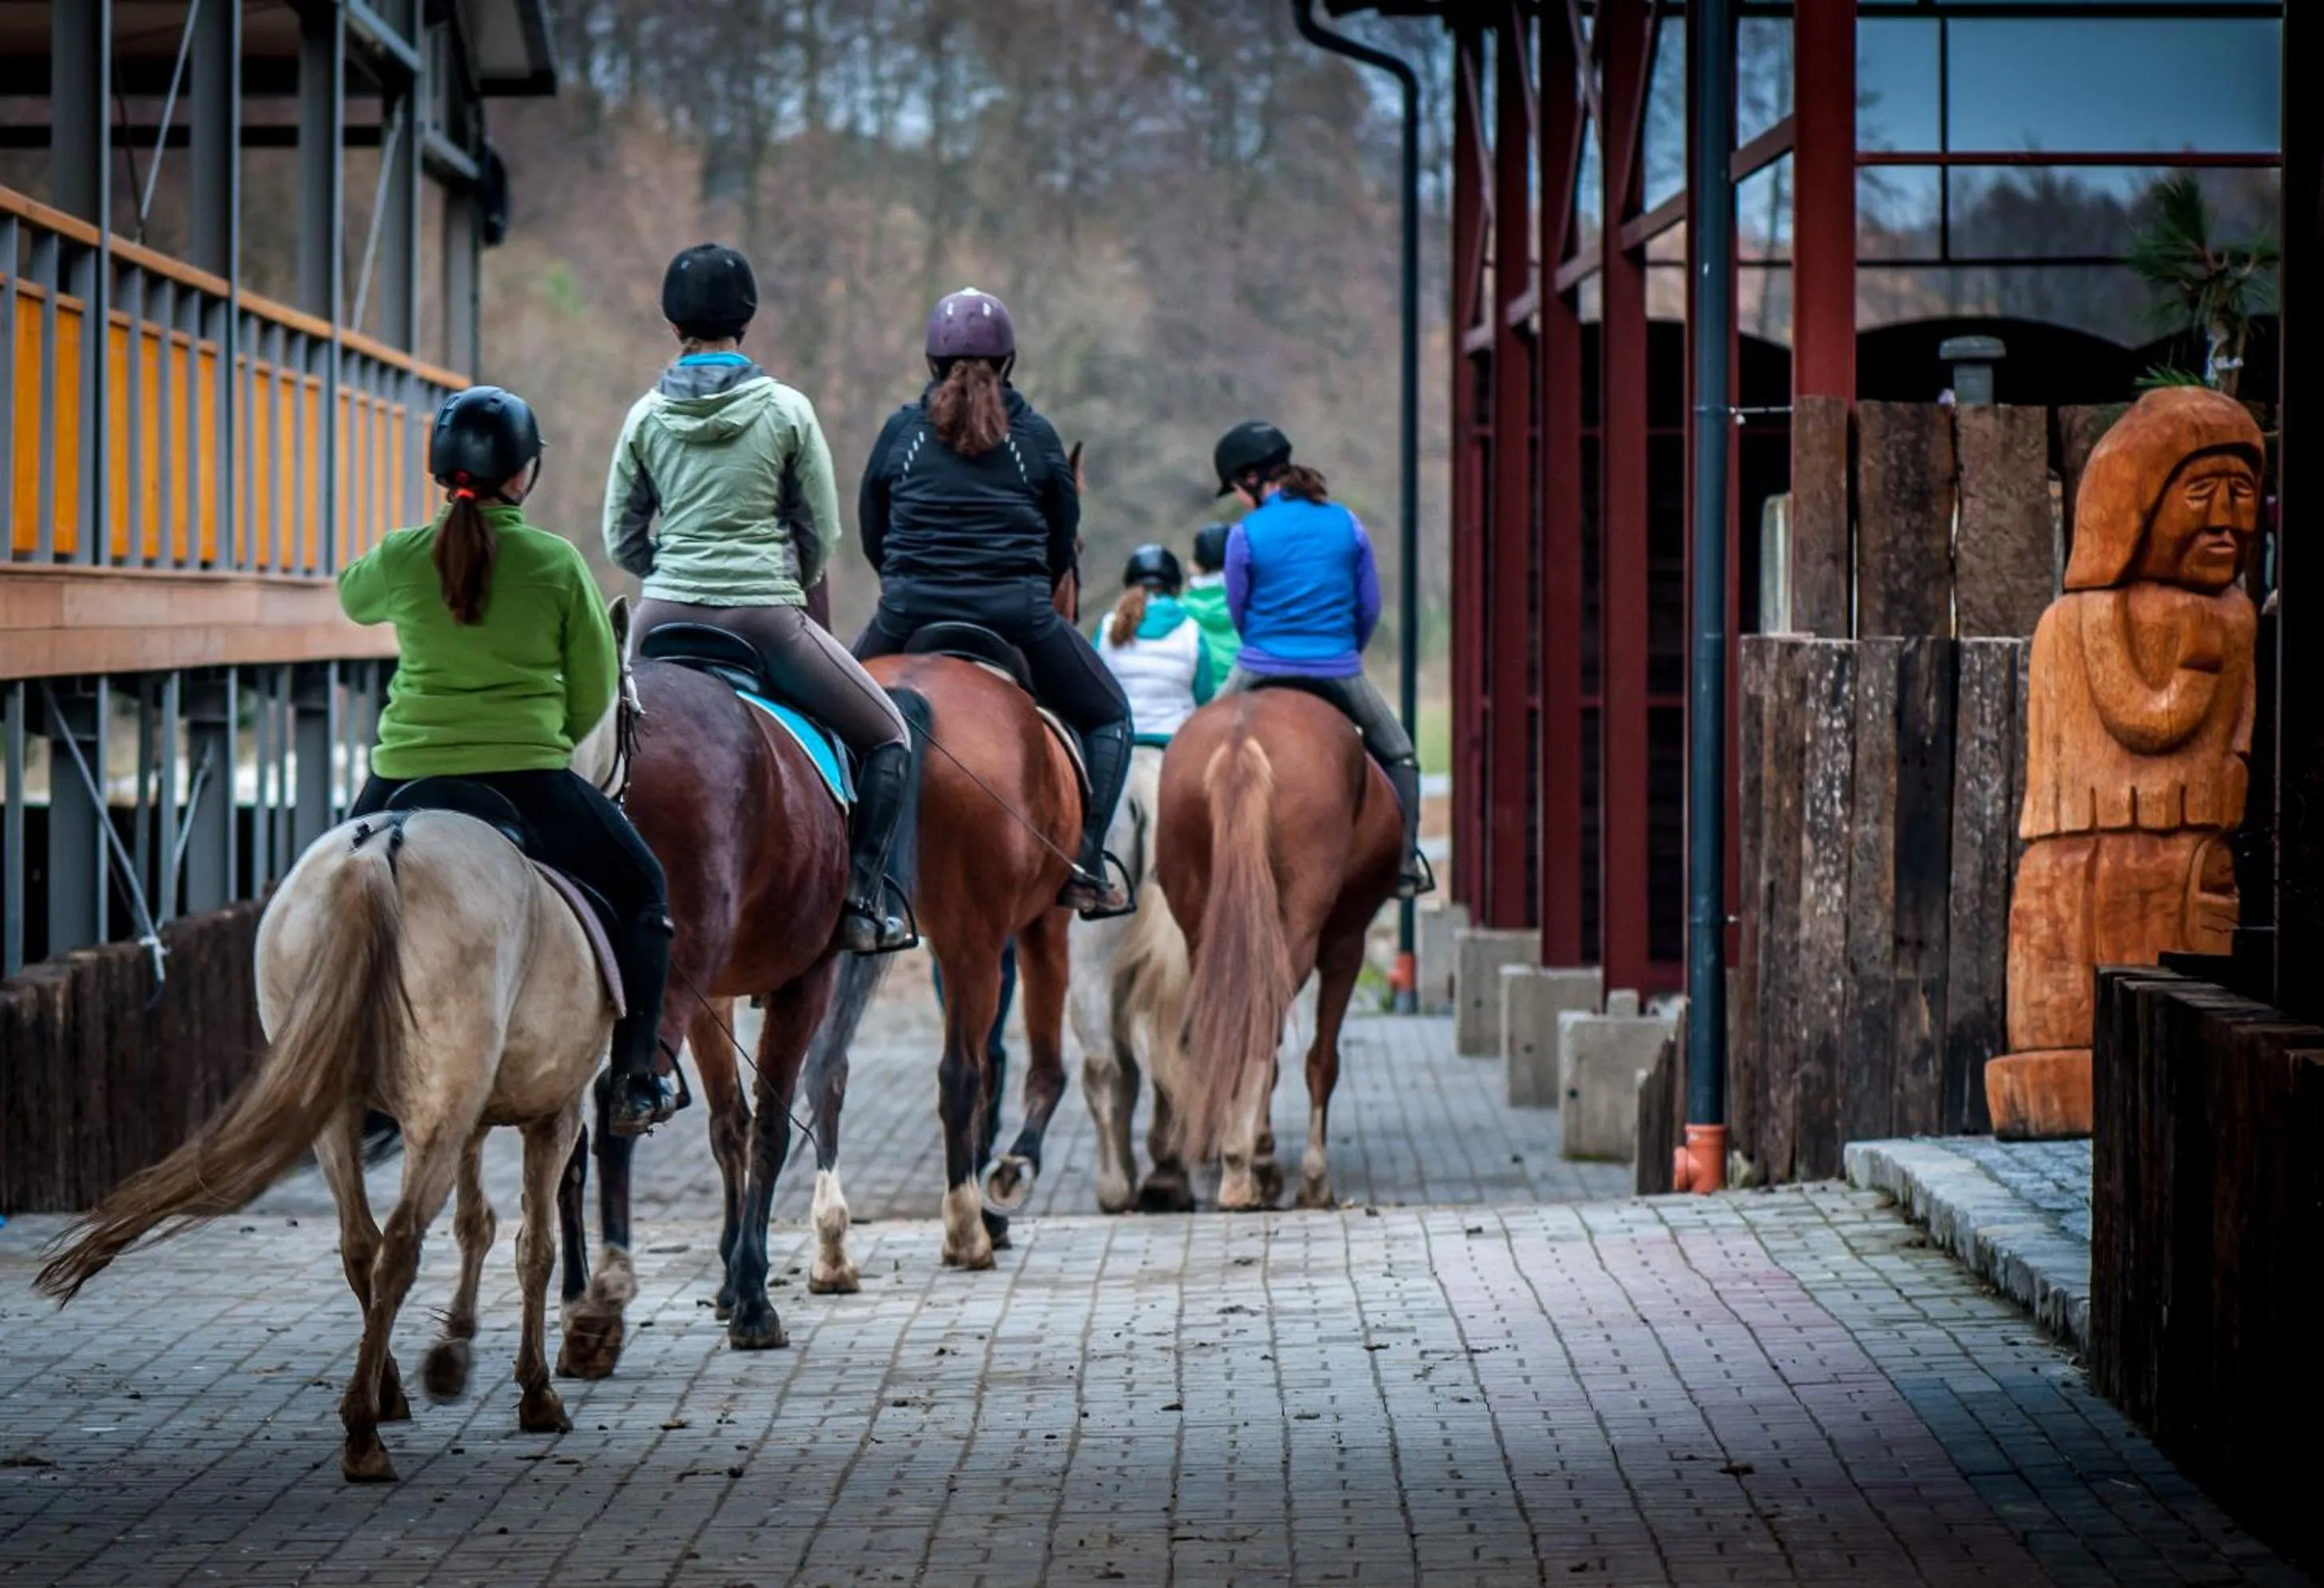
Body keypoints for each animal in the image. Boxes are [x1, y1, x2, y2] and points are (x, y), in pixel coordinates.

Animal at [34, 603, 640, 1483]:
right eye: (631, 710)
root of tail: (384, 844)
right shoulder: (550, 1113)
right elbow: (534, 1244)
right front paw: (531, 1391)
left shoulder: (473, 1111)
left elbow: (477, 1223)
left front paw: (452, 1352)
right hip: (438, 1110)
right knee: (396, 1246)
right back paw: (364, 1433)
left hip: (341, 1108)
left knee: (362, 1245)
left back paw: (381, 1394)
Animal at [554, 613, 860, 1373]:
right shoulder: (806, 978)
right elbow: (771, 1124)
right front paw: (750, 1296)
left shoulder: (710, 997)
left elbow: (730, 1126)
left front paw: (729, 1280)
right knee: (615, 1104)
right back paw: (601, 1309)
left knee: (572, 1130)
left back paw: (576, 1298)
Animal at [1157, 686, 1400, 1211]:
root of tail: (1240, 738)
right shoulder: (1347, 944)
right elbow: (1321, 1061)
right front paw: (1311, 1179)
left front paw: (1264, 1154)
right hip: (1301, 932)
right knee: (1264, 1027)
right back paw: (1239, 1168)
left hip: (1202, 930)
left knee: (1229, 1026)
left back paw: (1238, 1162)